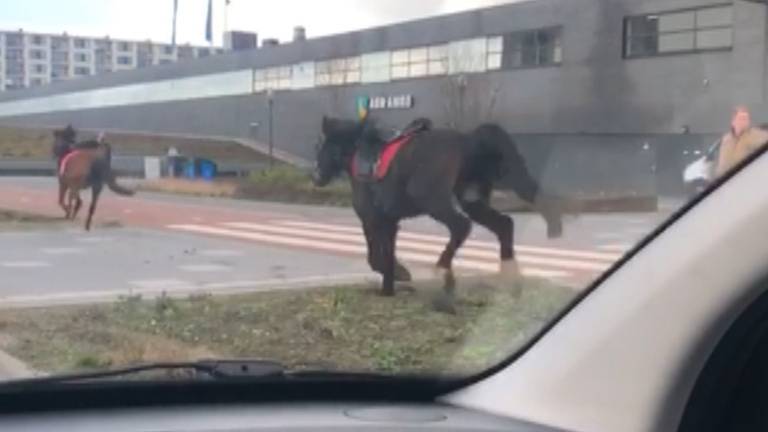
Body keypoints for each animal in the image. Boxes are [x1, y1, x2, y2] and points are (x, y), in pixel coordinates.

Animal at [314, 116, 564, 308]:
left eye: (322, 146)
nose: (316, 178)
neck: (359, 156)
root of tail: (467, 141)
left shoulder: (372, 219)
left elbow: (375, 256)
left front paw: (398, 276)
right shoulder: (390, 222)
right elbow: (387, 254)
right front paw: (390, 286)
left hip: (433, 201)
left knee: (461, 226)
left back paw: (445, 277)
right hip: (472, 202)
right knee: (504, 225)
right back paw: (511, 280)